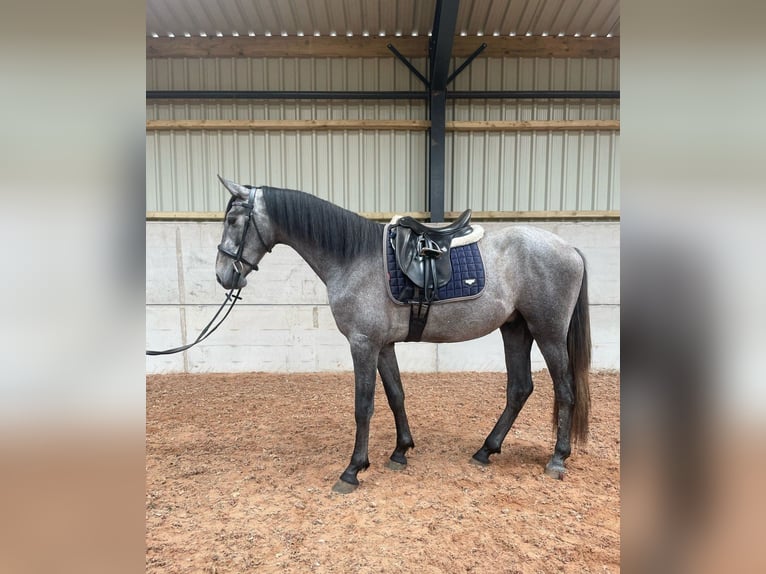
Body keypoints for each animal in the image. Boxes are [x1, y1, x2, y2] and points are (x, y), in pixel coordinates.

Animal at [214, 176, 591, 493]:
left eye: (233, 220)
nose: (222, 275)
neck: (353, 258)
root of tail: (569, 249)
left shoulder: (363, 344)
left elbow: (363, 406)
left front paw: (353, 469)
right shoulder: (383, 346)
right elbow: (396, 395)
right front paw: (401, 451)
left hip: (548, 332)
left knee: (564, 390)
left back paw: (557, 459)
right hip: (515, 329)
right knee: (519, 389)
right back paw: (486, 449)